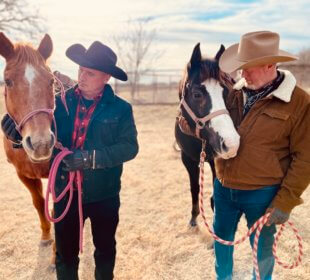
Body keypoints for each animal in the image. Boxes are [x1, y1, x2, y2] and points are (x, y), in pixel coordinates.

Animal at [0, 34, 54, 246]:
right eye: (7, 81)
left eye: (51, 81)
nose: (41, 144)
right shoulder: (24, 175)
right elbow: (39, 203)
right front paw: (46, 235)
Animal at [174, 44, 240, 228]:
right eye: (197, 94)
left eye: (226, 92)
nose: (231, 144)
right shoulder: (187, 158)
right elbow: (195, 188)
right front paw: (193, 217)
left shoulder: (216, 161)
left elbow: (215, 197)